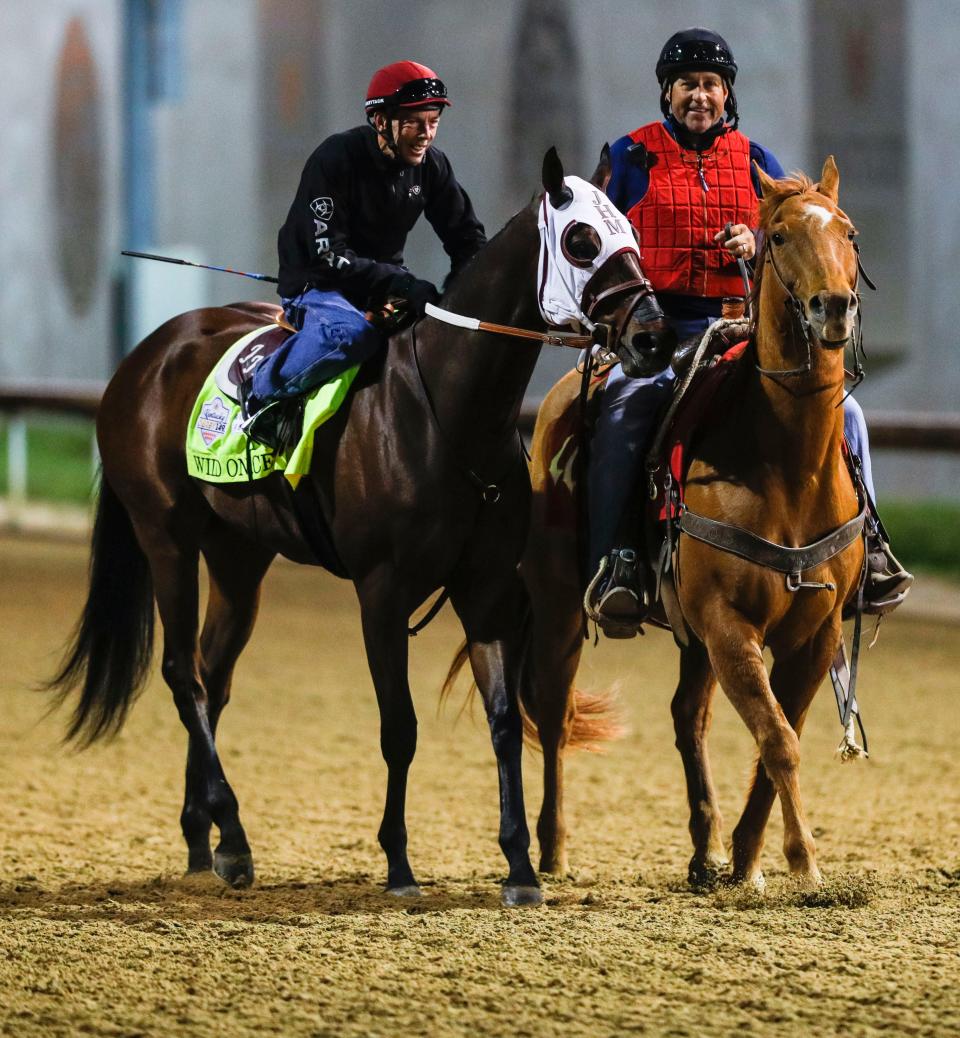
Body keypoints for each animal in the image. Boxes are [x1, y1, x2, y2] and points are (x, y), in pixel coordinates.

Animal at [48, 148, 672, 909]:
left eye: (633, 235)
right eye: (581, 240)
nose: (654, 336)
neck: (445, 409)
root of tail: (146, 356)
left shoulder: (487, 588)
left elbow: (501, 722)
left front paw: (521, 868)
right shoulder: (382, 591)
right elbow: (398, 728)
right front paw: (399, 864)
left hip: (238, 554)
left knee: (213, 676)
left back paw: (207, 840)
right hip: (164, 533)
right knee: (182, 674)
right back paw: (235, 833)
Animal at [520, 157, 863, 888]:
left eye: (846, 231)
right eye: (781, 236)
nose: (834, 306)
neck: (788, 466)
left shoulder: (813, 635)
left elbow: (776, 739)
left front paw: (749, 858)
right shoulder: (729, 624)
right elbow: (778, 739)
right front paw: (805, 863)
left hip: (689, 634)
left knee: (687, 719)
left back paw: (706, 851)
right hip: (560, 603)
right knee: (557, 712)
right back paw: (554, 849)